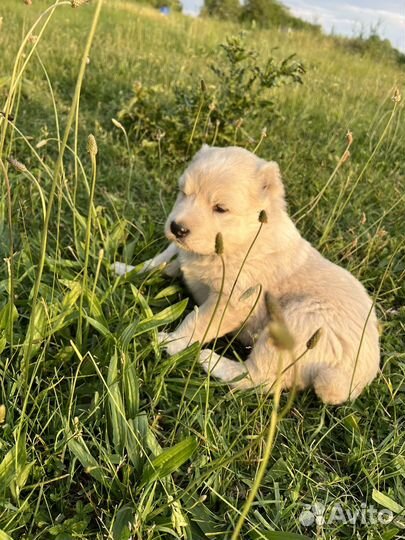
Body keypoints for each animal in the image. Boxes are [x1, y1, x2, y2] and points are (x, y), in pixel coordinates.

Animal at [113, 146, 378, 402]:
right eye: (183, 193)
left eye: (220, 208)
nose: (177, 228)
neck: (242, 241)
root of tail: (351, 379)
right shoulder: (183, 255)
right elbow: (160, 260)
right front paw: (125, 270)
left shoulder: (232, 300)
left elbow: (195, 321)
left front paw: (170, 341)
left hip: (296, 321)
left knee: (257, 378)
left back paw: (210, 360)